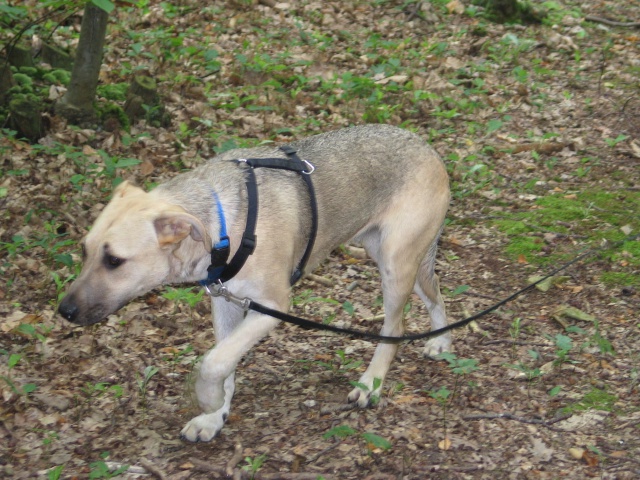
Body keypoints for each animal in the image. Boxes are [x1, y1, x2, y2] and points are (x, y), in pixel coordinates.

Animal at [58, 124, 450, 442]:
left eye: (114, 261)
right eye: (84, 250)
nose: (64, 311)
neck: (220, 224)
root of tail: (427, 148)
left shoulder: (271, 307)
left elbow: (213, 363)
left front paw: (208, 400)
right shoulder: (226, 302)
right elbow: (224, 360)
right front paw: (214, 417)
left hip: (395, 262)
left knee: (395, 326)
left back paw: (371, 383)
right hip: (394, 255)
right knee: (436, 295)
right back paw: (442, 341)